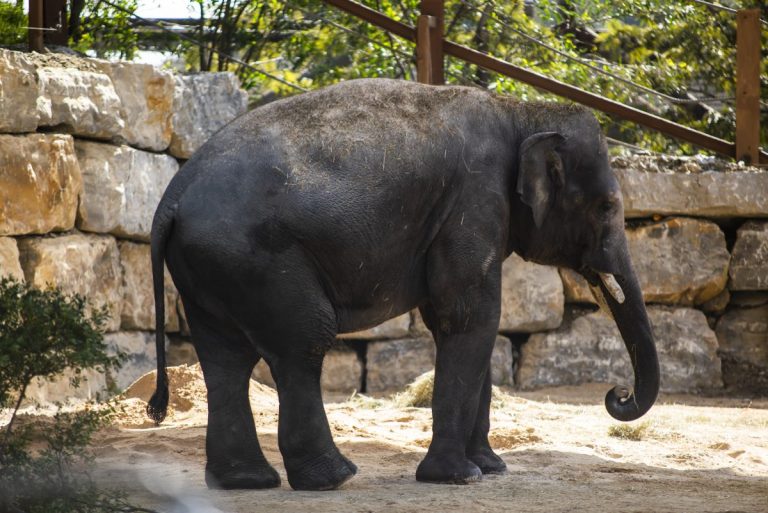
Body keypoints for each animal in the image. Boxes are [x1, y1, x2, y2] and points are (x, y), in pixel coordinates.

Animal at [146, 78, 659, 491]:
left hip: (212, 267)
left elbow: (463, 322)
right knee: (303, 342)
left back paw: (245, 482)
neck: (522, 111)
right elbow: (469, 317)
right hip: (257, 258)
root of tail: (171, 198)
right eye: (607, 206)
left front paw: (490, 468)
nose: (617, 394)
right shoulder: (474, 201)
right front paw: (458, 477)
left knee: (225, 359)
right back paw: (333, 479)